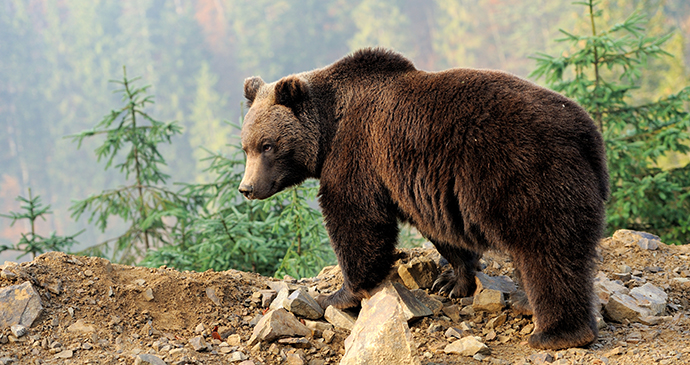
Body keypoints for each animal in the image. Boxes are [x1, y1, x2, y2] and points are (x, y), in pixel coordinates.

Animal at [239, 47, 604, 348]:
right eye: (246, 146)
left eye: (268, 145)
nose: (247, 188)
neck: (329, 128)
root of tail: (586, 132)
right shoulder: (423, 185)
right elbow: (440, 231)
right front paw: (451, 281)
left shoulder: (359, 154)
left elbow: (356, 219)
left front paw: (337, 295)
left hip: (523, 174)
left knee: (546, 251)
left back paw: (556, 332)